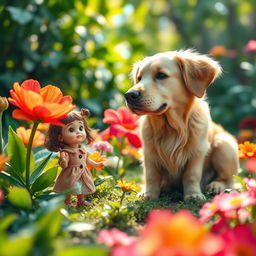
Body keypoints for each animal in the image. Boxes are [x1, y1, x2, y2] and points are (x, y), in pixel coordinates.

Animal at [125, 50, 239, 201]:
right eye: (139, 78)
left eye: (161, 75)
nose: (129, 95)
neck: (171, 126)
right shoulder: (149, 152)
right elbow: (151, 175)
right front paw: (148, 194)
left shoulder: (197, 151)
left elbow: (191, 175)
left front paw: (193, 194)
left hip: (224, 145)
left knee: (229, 180)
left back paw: (216, 185)